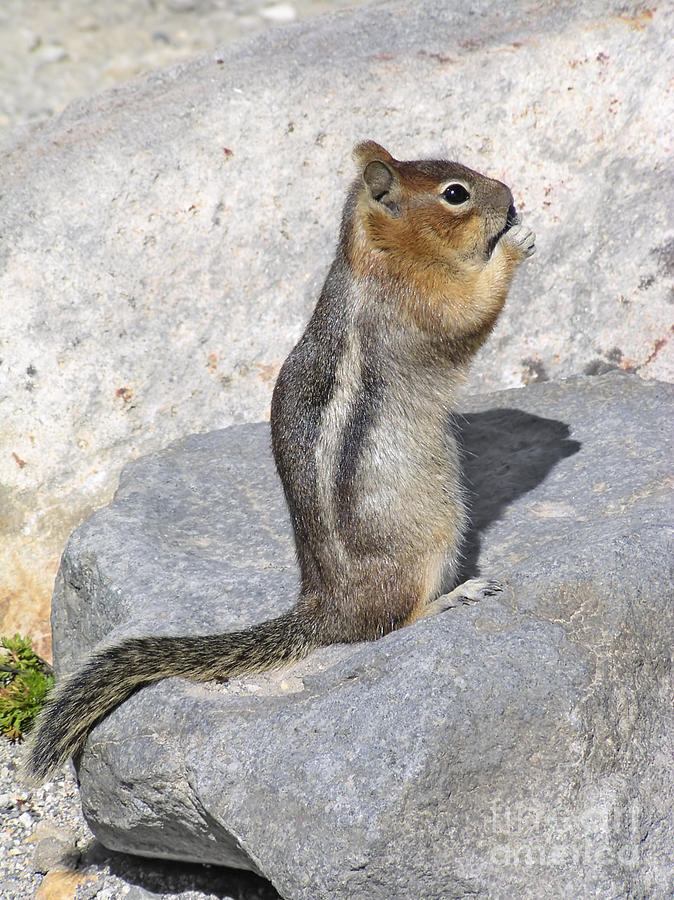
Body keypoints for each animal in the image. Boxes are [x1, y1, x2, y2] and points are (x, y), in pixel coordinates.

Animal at [25, 139, 532, 780]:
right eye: (456, 194)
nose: (511, 199)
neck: (377, 253)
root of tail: (323, 612)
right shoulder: (422, 300)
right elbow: (471, 311)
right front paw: (515, 246)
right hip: (429, 543)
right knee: (389, 625)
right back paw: (454, 596)